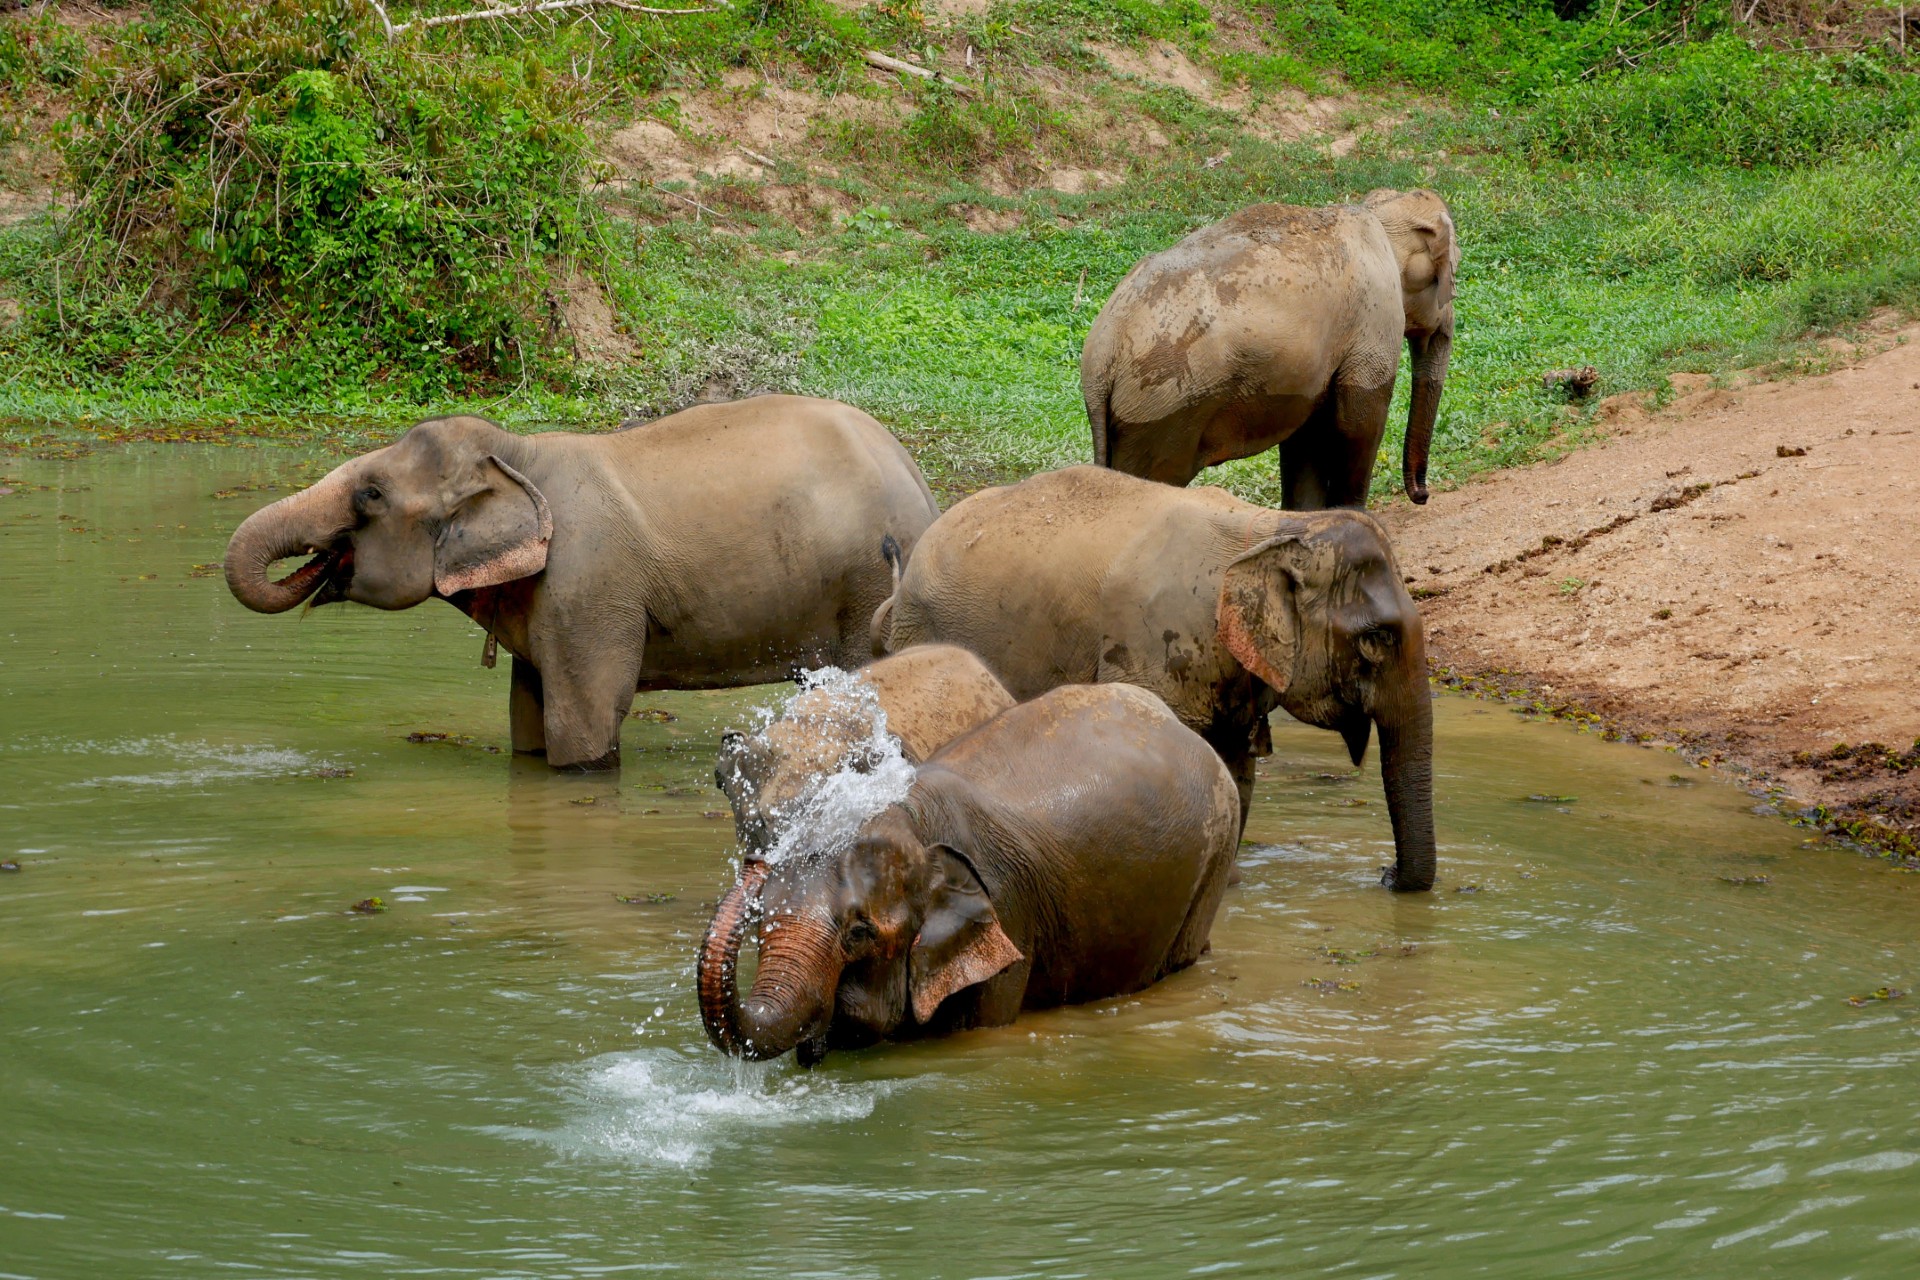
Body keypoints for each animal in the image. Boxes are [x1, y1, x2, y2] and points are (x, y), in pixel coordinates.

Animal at [222, 396, 940, 770]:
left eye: (370, 495)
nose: (319, 563)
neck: (519, 453)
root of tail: (915, 472)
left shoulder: (588, 584)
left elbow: (584, 720)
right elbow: (527, 711)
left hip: (866, 586)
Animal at [698, 682, 1241, 1065]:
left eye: (859, 933)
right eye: (760, 922)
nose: (754, 861)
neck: (914, 821)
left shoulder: (1009, 910)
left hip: (1218, 851)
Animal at [876, 465, 1435, 891]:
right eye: (1375, 638)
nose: (1386, 875)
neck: (1275, 529)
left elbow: (1236, 771)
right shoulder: (1153, 646)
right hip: (922, 631)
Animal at [1080, 188, 1459, 506]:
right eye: (1451, 278)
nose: (1423, 495)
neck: (1377, 215)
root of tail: (1101, 357)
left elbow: (1306, 436)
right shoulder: (1374, 316)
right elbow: (1359, 422)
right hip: (1161, 410)